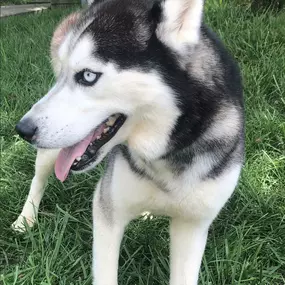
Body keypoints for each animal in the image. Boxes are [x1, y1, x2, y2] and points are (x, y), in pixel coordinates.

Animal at [14, 0, 243, 282]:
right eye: (65, 74)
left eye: (88, 76)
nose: (22, 129)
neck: (166, 151)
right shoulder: (107, 212)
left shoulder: (193, 226)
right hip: (52, 149)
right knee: (38, 179)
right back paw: (26, 218)